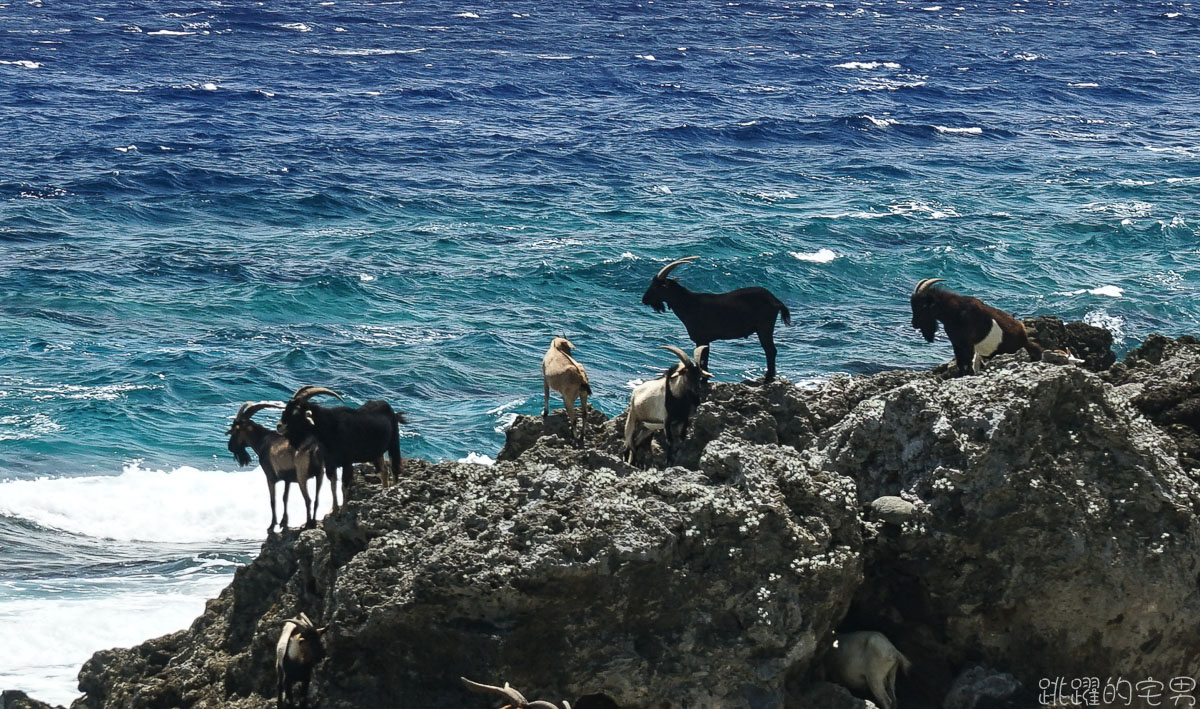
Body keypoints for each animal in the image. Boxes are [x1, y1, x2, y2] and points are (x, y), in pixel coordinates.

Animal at [223, 398, 328, 532]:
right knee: (316, 499)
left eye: (236, 430)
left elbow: (273, 500)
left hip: (302, 475)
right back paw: (313, 522)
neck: (263, 440)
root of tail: (313, 449)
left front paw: (272, 525)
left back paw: (308, 524)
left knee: (308, 499)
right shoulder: (288, 479)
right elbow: (285, 498)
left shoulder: (270, 477)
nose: (230, 447)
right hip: (320, 473)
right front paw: (284, 522)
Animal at [276, 388, 408, 499]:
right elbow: (333, 487)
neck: (329, 428)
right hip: (376, 452)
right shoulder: (330, 463)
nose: (279, 426)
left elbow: (344, 487)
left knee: (395, 468)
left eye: (296, 413)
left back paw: (392, 490)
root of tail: (392, 412)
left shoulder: (347, 462)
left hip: (393, 443)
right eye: (286, 409)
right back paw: (384, 489)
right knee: (383, 470)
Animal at [643, 256, 792, 383]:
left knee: (770, 350)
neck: (689, 303)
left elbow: (703, 361)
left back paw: (768, 378)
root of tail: (775, 300)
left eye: (656, 286)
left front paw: (703, 381)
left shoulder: (702, 339)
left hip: (764, 327)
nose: (644, 299)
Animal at [907, 278, 1041, 376]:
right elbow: (961, 362)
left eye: (924, 306)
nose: (914, 324)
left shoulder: (968, 344)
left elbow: (967, 362)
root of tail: (1021, 329)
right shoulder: (957, 344)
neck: (955, 312)